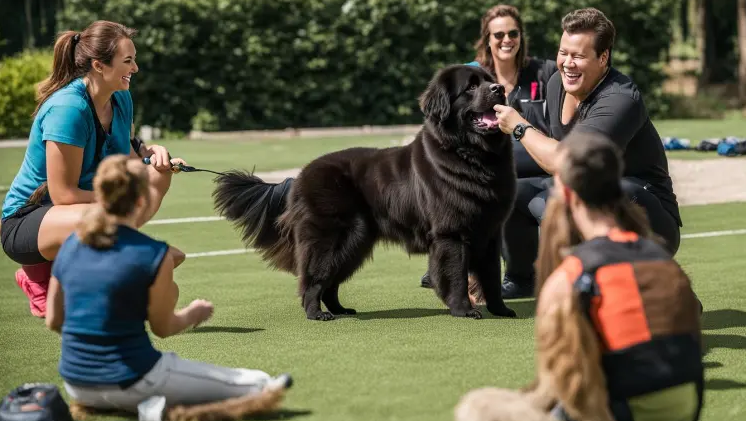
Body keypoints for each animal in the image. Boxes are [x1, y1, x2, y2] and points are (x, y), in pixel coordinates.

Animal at [212, 64, 516, 322]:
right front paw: (464, 310)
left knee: (331, 281)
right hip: (331, 236)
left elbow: (491, 275)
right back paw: (317, 314)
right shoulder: (451, 233)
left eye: (489, 80)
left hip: (355, 241)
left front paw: (500, 310)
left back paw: (340, 310)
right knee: (314, 278)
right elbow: (456, 275)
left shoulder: (490, 231)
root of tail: (299, 176)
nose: (499, 88)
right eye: (471, 87)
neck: (470, 155)